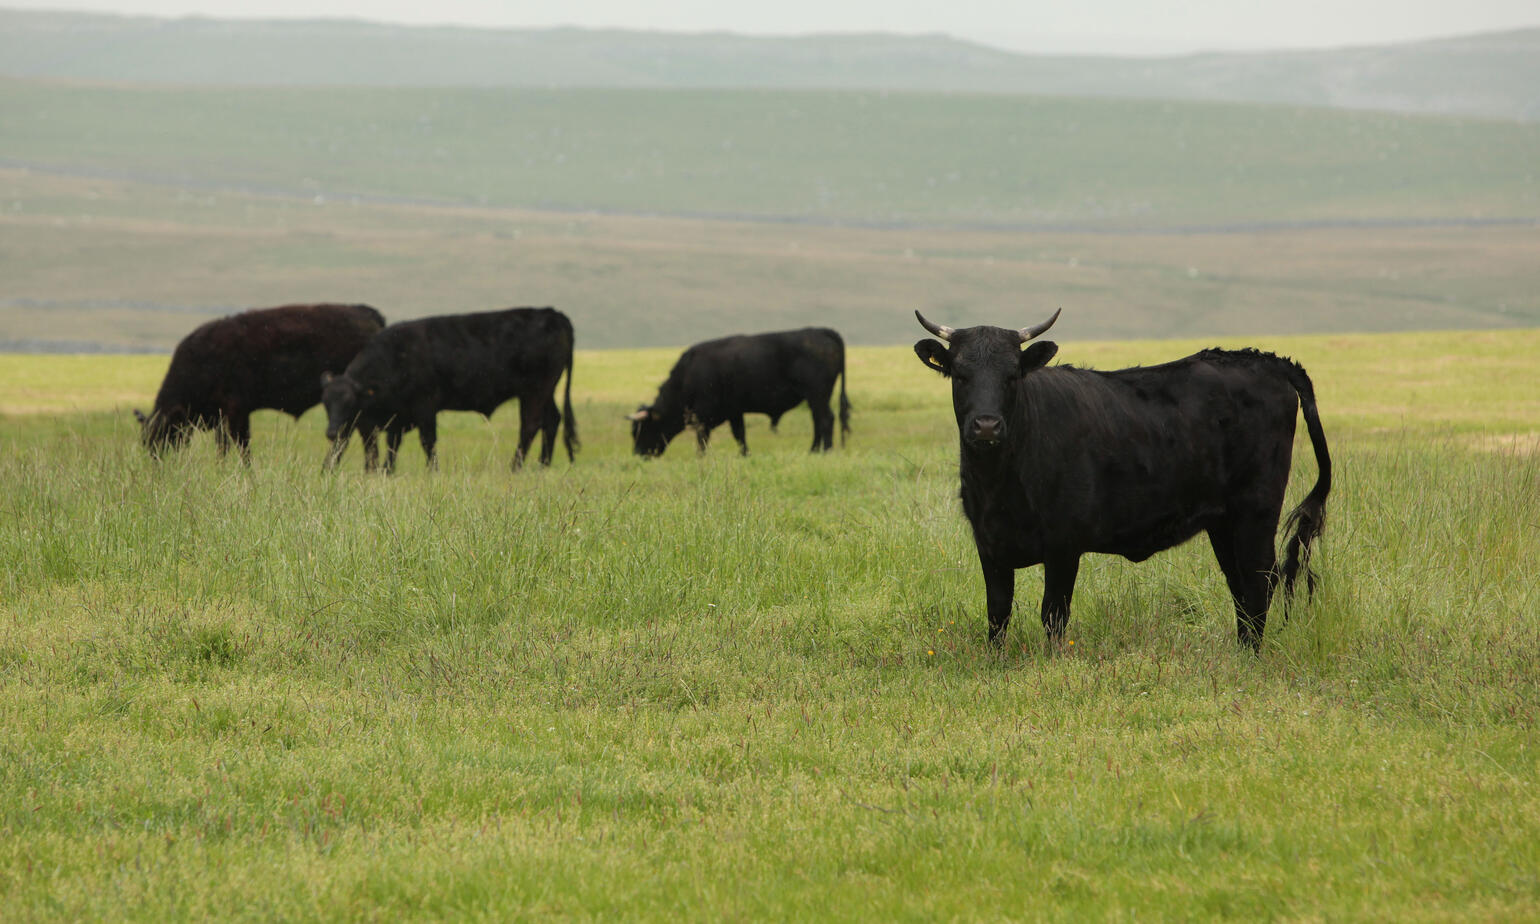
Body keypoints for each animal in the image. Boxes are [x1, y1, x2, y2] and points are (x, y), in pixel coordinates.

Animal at [134, 303, 385, 462]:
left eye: (164, 434)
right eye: (146, 441)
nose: (158, 463)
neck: (202, 359)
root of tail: (366, 312)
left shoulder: (235, 413)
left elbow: (239, 448)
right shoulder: (226, 416)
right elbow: (227, 446)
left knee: (359, 438)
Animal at [320, 306, 577, 473]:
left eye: (350, 402)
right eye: (326, 404)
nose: (331, 432)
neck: (399, 355)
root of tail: (552, 314)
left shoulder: (425, 406)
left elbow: (428, 440)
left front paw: (432, 470)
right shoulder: (398, 415)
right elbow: (393, 443)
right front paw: (387, 470)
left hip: (534, 391)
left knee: (530, 425)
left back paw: (516, 466)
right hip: (546, 392)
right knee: (552, 420)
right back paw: (543, 464)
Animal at [629, 327, 850, 457]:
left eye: (641, 428)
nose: (638, 453)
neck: (686, 377)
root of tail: (822, 331)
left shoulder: (704, 414)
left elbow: (703, 437)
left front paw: (701, 457)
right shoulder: (734, 411)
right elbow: (740, 434)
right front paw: (745, 454)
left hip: (817, 395)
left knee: (826, 420)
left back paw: (825, 451)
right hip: (815, 398)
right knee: (818, 421)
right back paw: (814, 450)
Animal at [913, 309, 1331, 651]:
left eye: (1012, 375)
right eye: (960, 375)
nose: (986, 426)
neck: (999, 482)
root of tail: (1265, 360)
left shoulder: (1064, 545)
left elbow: (1053, 614)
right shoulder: (989, 544)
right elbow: (997, 614)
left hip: (1256, 511)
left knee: (1260, 581)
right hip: (1224, 522)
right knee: (1240, 584)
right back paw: (1242, 652)